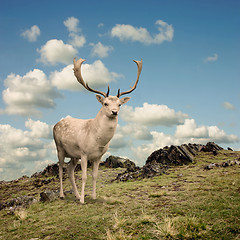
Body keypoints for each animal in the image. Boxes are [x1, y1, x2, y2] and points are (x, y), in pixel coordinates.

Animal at [53, 57, 142, 203]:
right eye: (105, 103)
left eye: (119, 104)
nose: (114, 112)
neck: (97, 140)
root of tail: (55, 124)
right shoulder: (84, 153)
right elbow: (84, 176)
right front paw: (83, 201)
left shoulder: (98, 156)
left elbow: (95, 176)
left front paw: (93, 196)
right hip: (59, 148)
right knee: (61, 170)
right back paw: (62, 195)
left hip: (74, 155)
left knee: (70, 170)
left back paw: (76, 195)